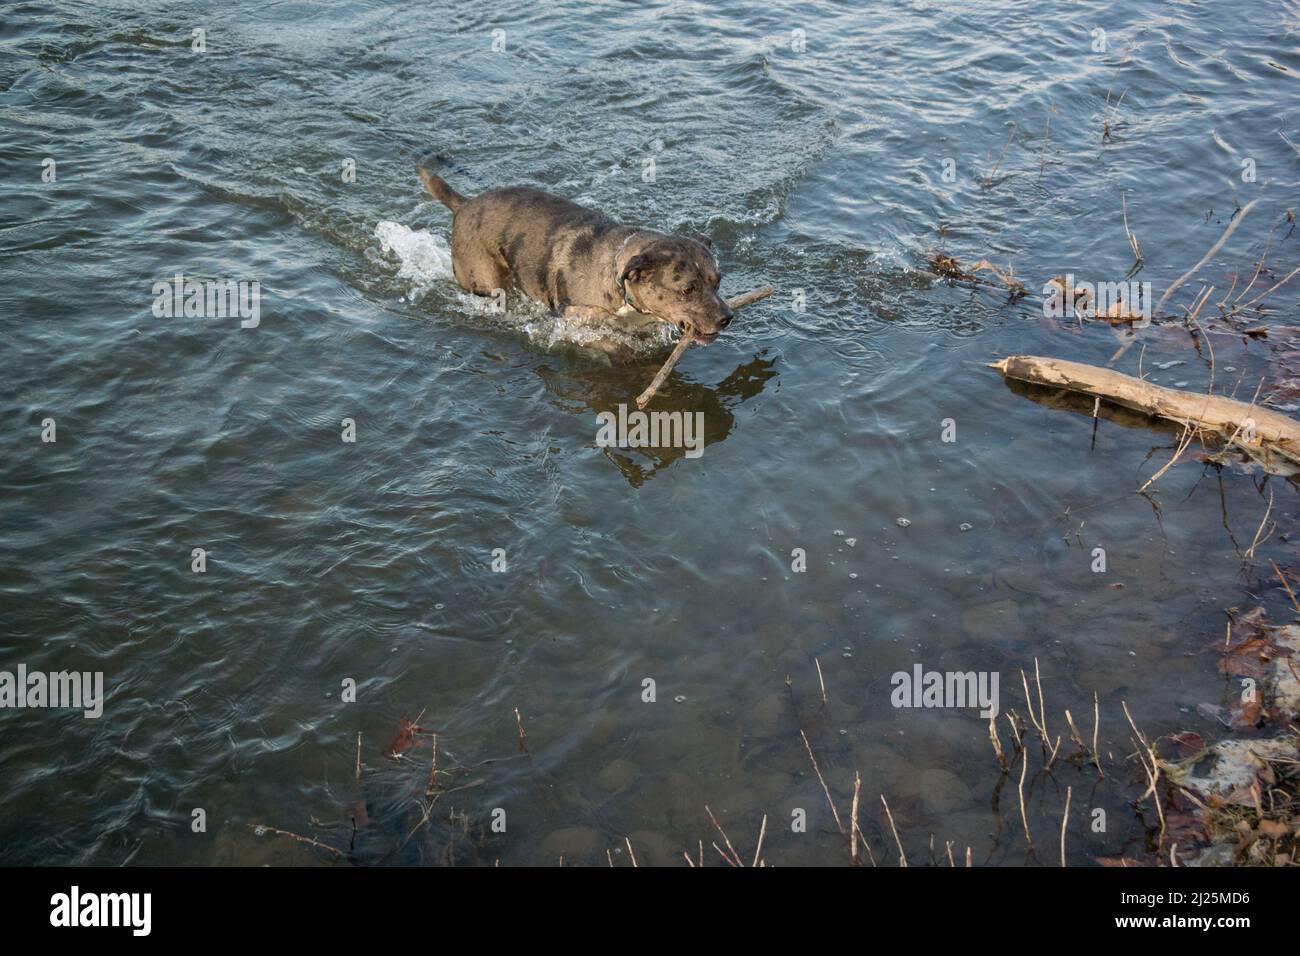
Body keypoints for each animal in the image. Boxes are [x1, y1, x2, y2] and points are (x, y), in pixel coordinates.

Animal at [421, 167, 738, 348]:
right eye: (687, 289)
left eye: (718, 282)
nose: (727, 318)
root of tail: (463, 204)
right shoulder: (573, 320)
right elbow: (605, 342)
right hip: (485, 280)